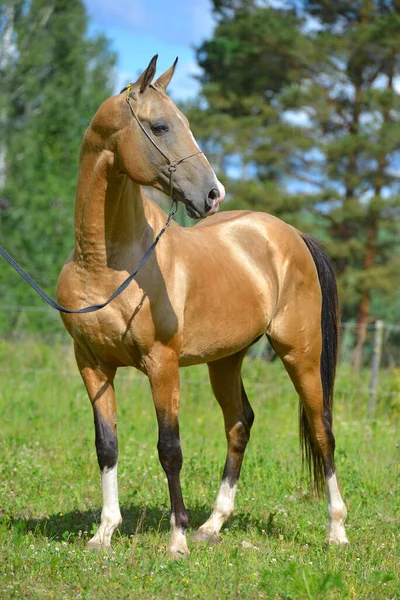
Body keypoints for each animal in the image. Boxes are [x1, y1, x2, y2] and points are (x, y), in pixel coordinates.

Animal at [55, 56, 346, 556]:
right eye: (160, 125)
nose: (213, 194)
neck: (108, 263)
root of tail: (292, 235)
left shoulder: (162, 364)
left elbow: (169, 448)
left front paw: (177, 540)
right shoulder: (92, 364)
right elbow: (107, 446)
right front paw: (104, 533)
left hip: (301, 354)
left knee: (320, 427)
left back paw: (337, 530)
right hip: (226, 360)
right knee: (240, 423)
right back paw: (213, 525)